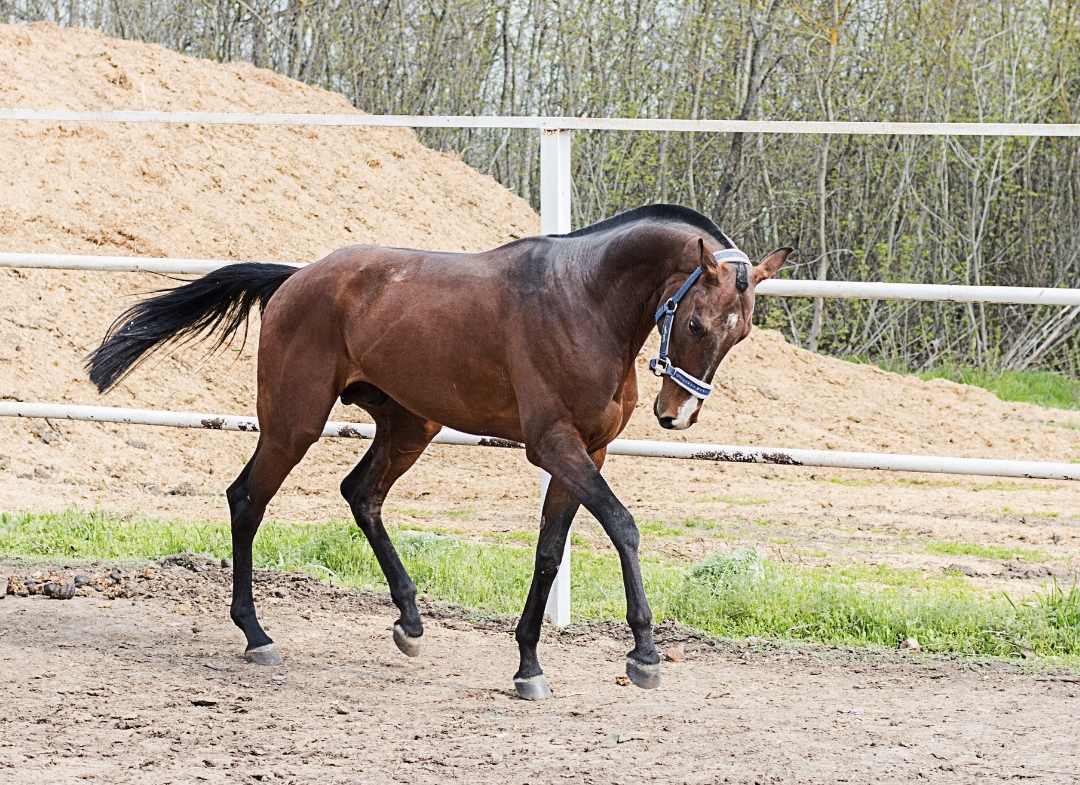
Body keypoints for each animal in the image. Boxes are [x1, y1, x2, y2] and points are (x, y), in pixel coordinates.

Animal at [86, 204, 786, 699]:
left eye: (743, 332)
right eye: (695, 322)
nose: (678, 414)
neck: (585, 300)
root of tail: (296, 280)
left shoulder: (589, 452)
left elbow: (549, 552)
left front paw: (528, 666)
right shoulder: (554, 447)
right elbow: (622, 525)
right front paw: (643, 653)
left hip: (409, 425)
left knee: (360, 494)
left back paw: (410, 621)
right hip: (293, 423)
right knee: (247, 500)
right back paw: (257, 635)